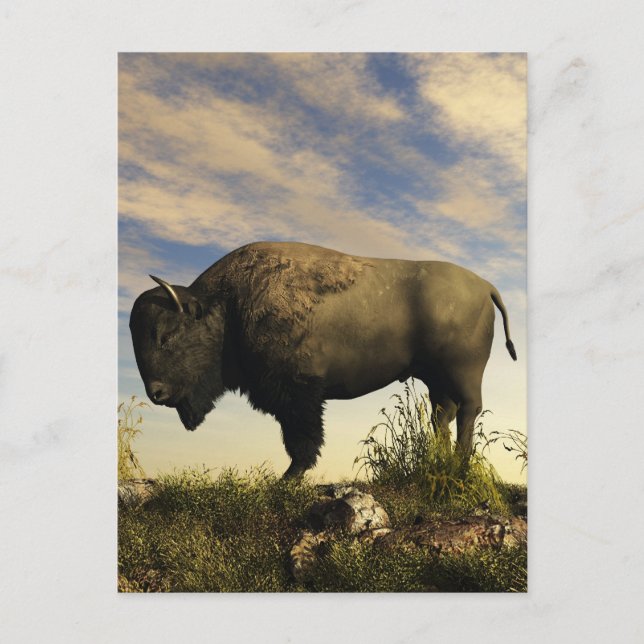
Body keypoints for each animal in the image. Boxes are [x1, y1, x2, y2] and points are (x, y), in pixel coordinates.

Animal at [129, 241, 517, 478]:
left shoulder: (297, 393)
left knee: (468, 410)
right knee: (442, 415)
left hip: (463, 374)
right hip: (435, 378)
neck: (229, 304)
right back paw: (440, 462)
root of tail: (486, 286)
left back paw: (460, 465)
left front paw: (287, 479)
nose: (156, 393)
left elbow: (303, 440)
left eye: (166, 336)